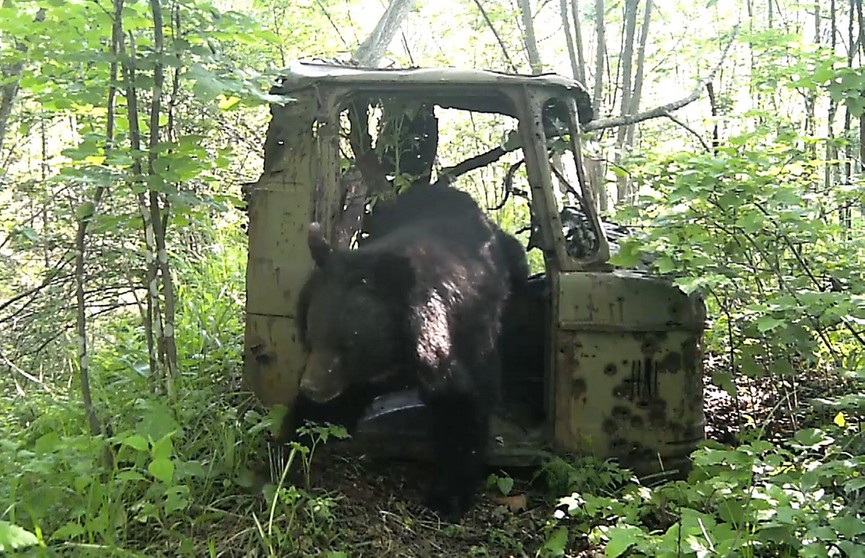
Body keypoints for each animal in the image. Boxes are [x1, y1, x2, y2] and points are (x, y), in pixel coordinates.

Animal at [294, 183, 516, 520]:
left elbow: (463, 405)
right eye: (312, 334)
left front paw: (447, 497)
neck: (396, 351)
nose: (312, 388)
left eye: (347, 345)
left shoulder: (452, 343)